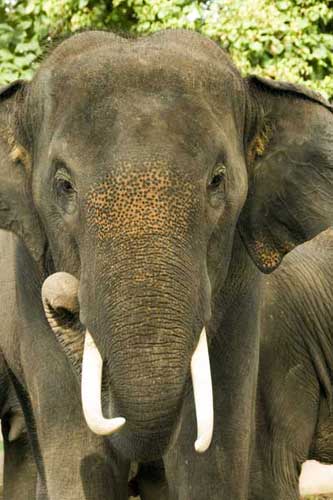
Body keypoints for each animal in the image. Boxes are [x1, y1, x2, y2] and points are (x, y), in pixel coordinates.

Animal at [0, 28, 332, 500]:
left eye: (217, 180)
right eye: (63, 185)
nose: (62, 295)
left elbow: (212, 460)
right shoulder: (29, 280)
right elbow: (77, 455)